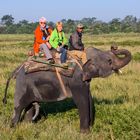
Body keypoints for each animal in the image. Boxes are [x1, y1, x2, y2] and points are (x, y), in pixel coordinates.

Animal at [2, 46, 131, 133]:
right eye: (109, 61)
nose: (114, 47)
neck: (83, 55)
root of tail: (17, 69)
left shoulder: (84, 80)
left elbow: (89, 98)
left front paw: (90, 129)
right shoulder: (76, 79)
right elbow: (81, 101)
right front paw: (84, 133)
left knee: (29, 107)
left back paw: (28, 127)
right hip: (22, 85)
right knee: (19, 107)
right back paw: (12, 129)